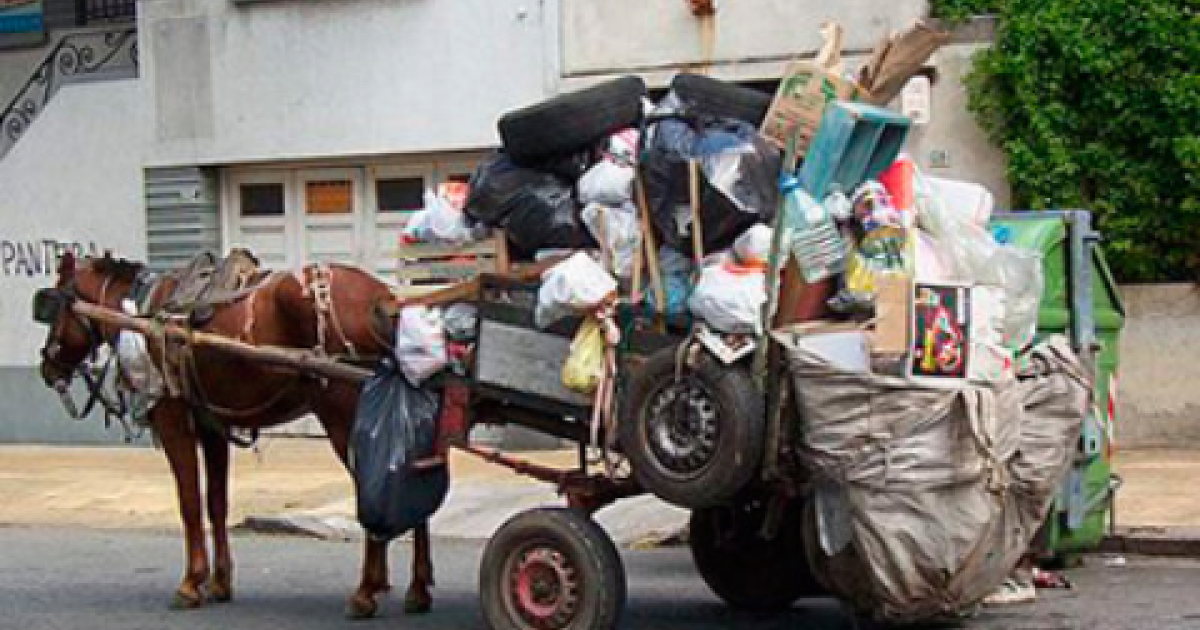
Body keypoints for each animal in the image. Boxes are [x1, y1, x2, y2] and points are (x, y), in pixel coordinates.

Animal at [35, 252, 434, 619]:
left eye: (51, 308)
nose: (46, 367)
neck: (140, 315)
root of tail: (383, 297)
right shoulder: (212, 427)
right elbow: (216, 503)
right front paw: (219, 582)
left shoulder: (173, 421)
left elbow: (189, 503)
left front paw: (191, 583)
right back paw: (416, 588)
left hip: (343, 415)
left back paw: (366, 591)